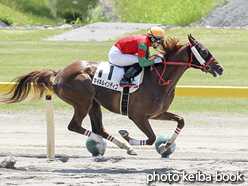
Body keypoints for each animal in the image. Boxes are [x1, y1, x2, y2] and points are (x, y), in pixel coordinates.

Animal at [1, 34, 223, 155]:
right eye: (203, 50)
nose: (219, 68)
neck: (160, 79)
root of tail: (60, 72)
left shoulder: (157, 113)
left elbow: (181, 121)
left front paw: (165, 146)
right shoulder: (138, 116)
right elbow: (151, 138)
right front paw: (129, 137)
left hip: (94, 103)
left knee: (98, 127)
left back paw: (117, 146)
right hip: (83, 100)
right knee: (75, 126)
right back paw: (104, 143)